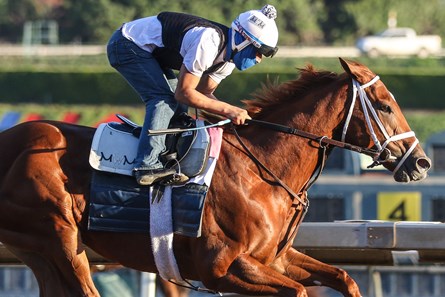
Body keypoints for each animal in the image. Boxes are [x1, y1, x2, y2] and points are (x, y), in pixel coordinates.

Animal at [0, 58, 428, 296]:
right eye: (385, 106)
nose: (422, 162)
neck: (261, 172)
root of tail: (10, 141)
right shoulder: (223, 268)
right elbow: (298, 292)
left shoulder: (275, 258)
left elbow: (345, 277)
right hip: (61, 237)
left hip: (37, 249)